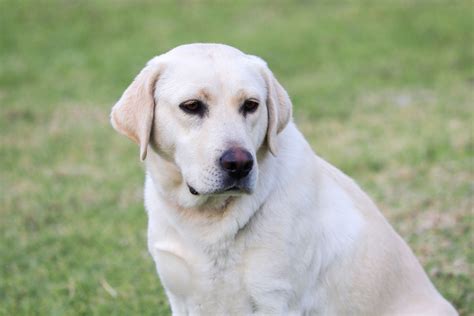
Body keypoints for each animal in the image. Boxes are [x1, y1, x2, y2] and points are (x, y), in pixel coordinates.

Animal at [109, 43, 458, 314]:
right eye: (192, 106)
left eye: (251, 105)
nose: (239, 163)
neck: (209, 219)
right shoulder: (180, 296)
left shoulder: (275, 299)